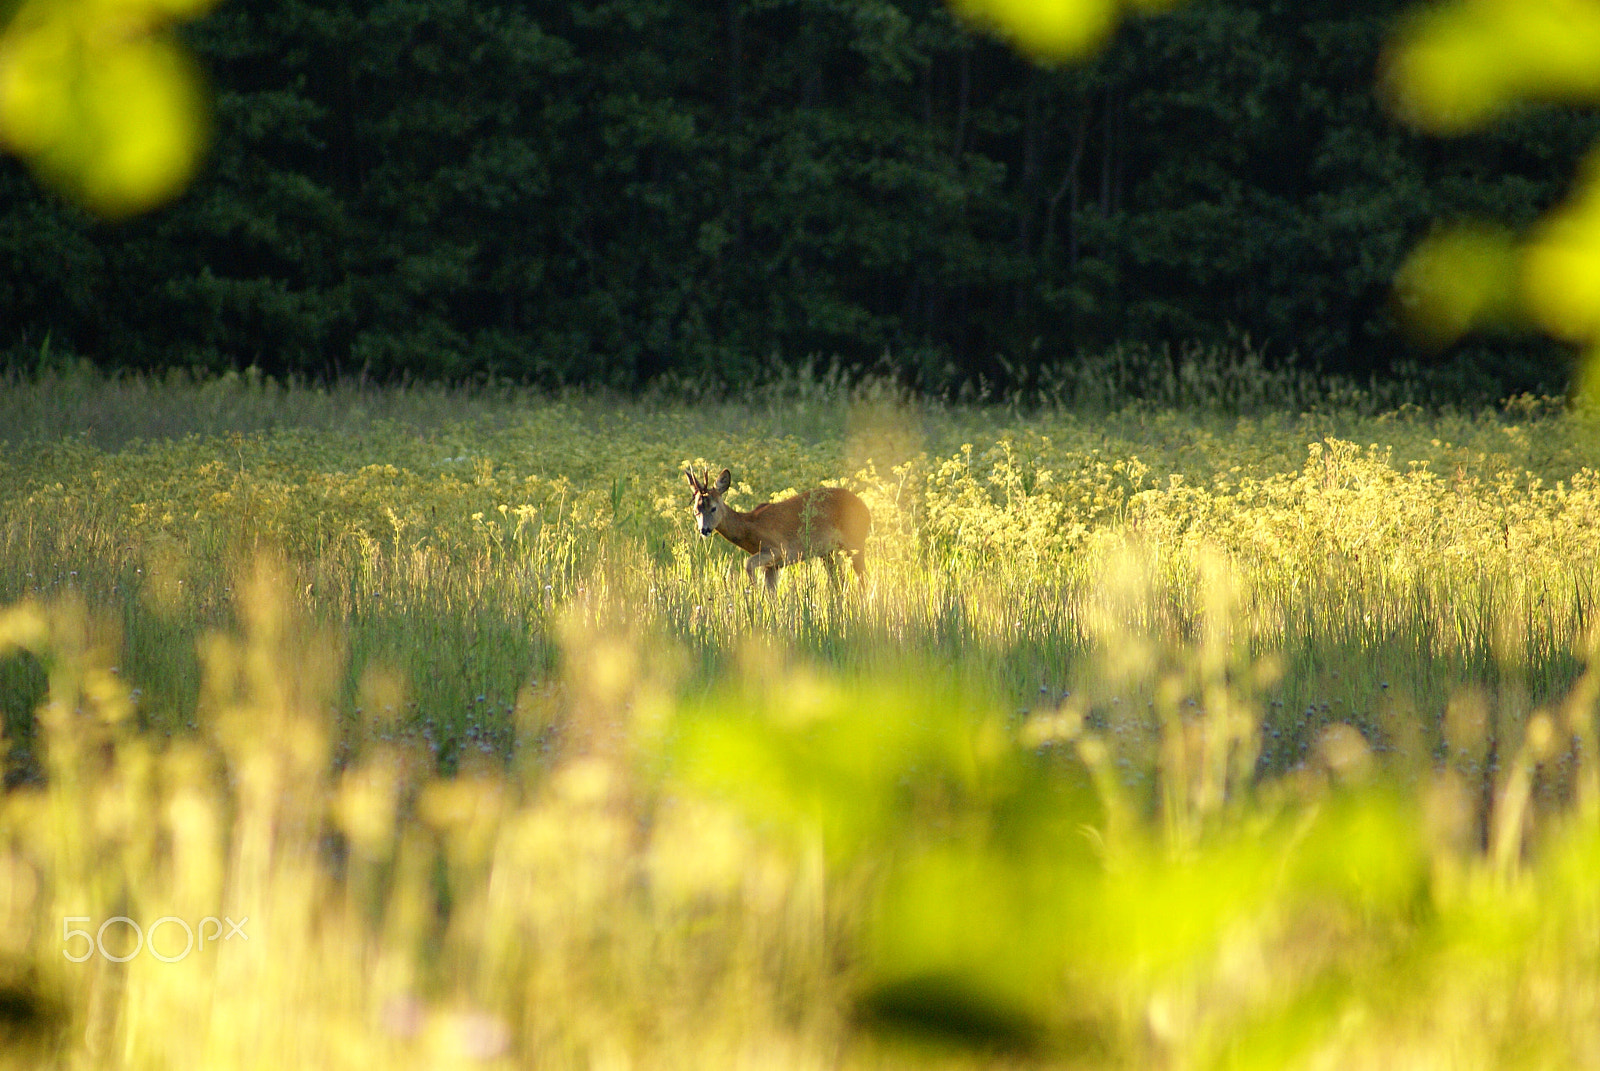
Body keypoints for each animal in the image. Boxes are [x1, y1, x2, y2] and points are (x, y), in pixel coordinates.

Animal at [684, 467, 871, 591]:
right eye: (696, 510)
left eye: (713, 508)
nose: (704, 530)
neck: (750, 527)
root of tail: (866, 509)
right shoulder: (773, 566)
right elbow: (771, 594)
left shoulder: (778, 549)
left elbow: (747, 563)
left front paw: (753, 592)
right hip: (828, 552)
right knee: (840, 582)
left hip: (855, 541)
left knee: (863, 578)